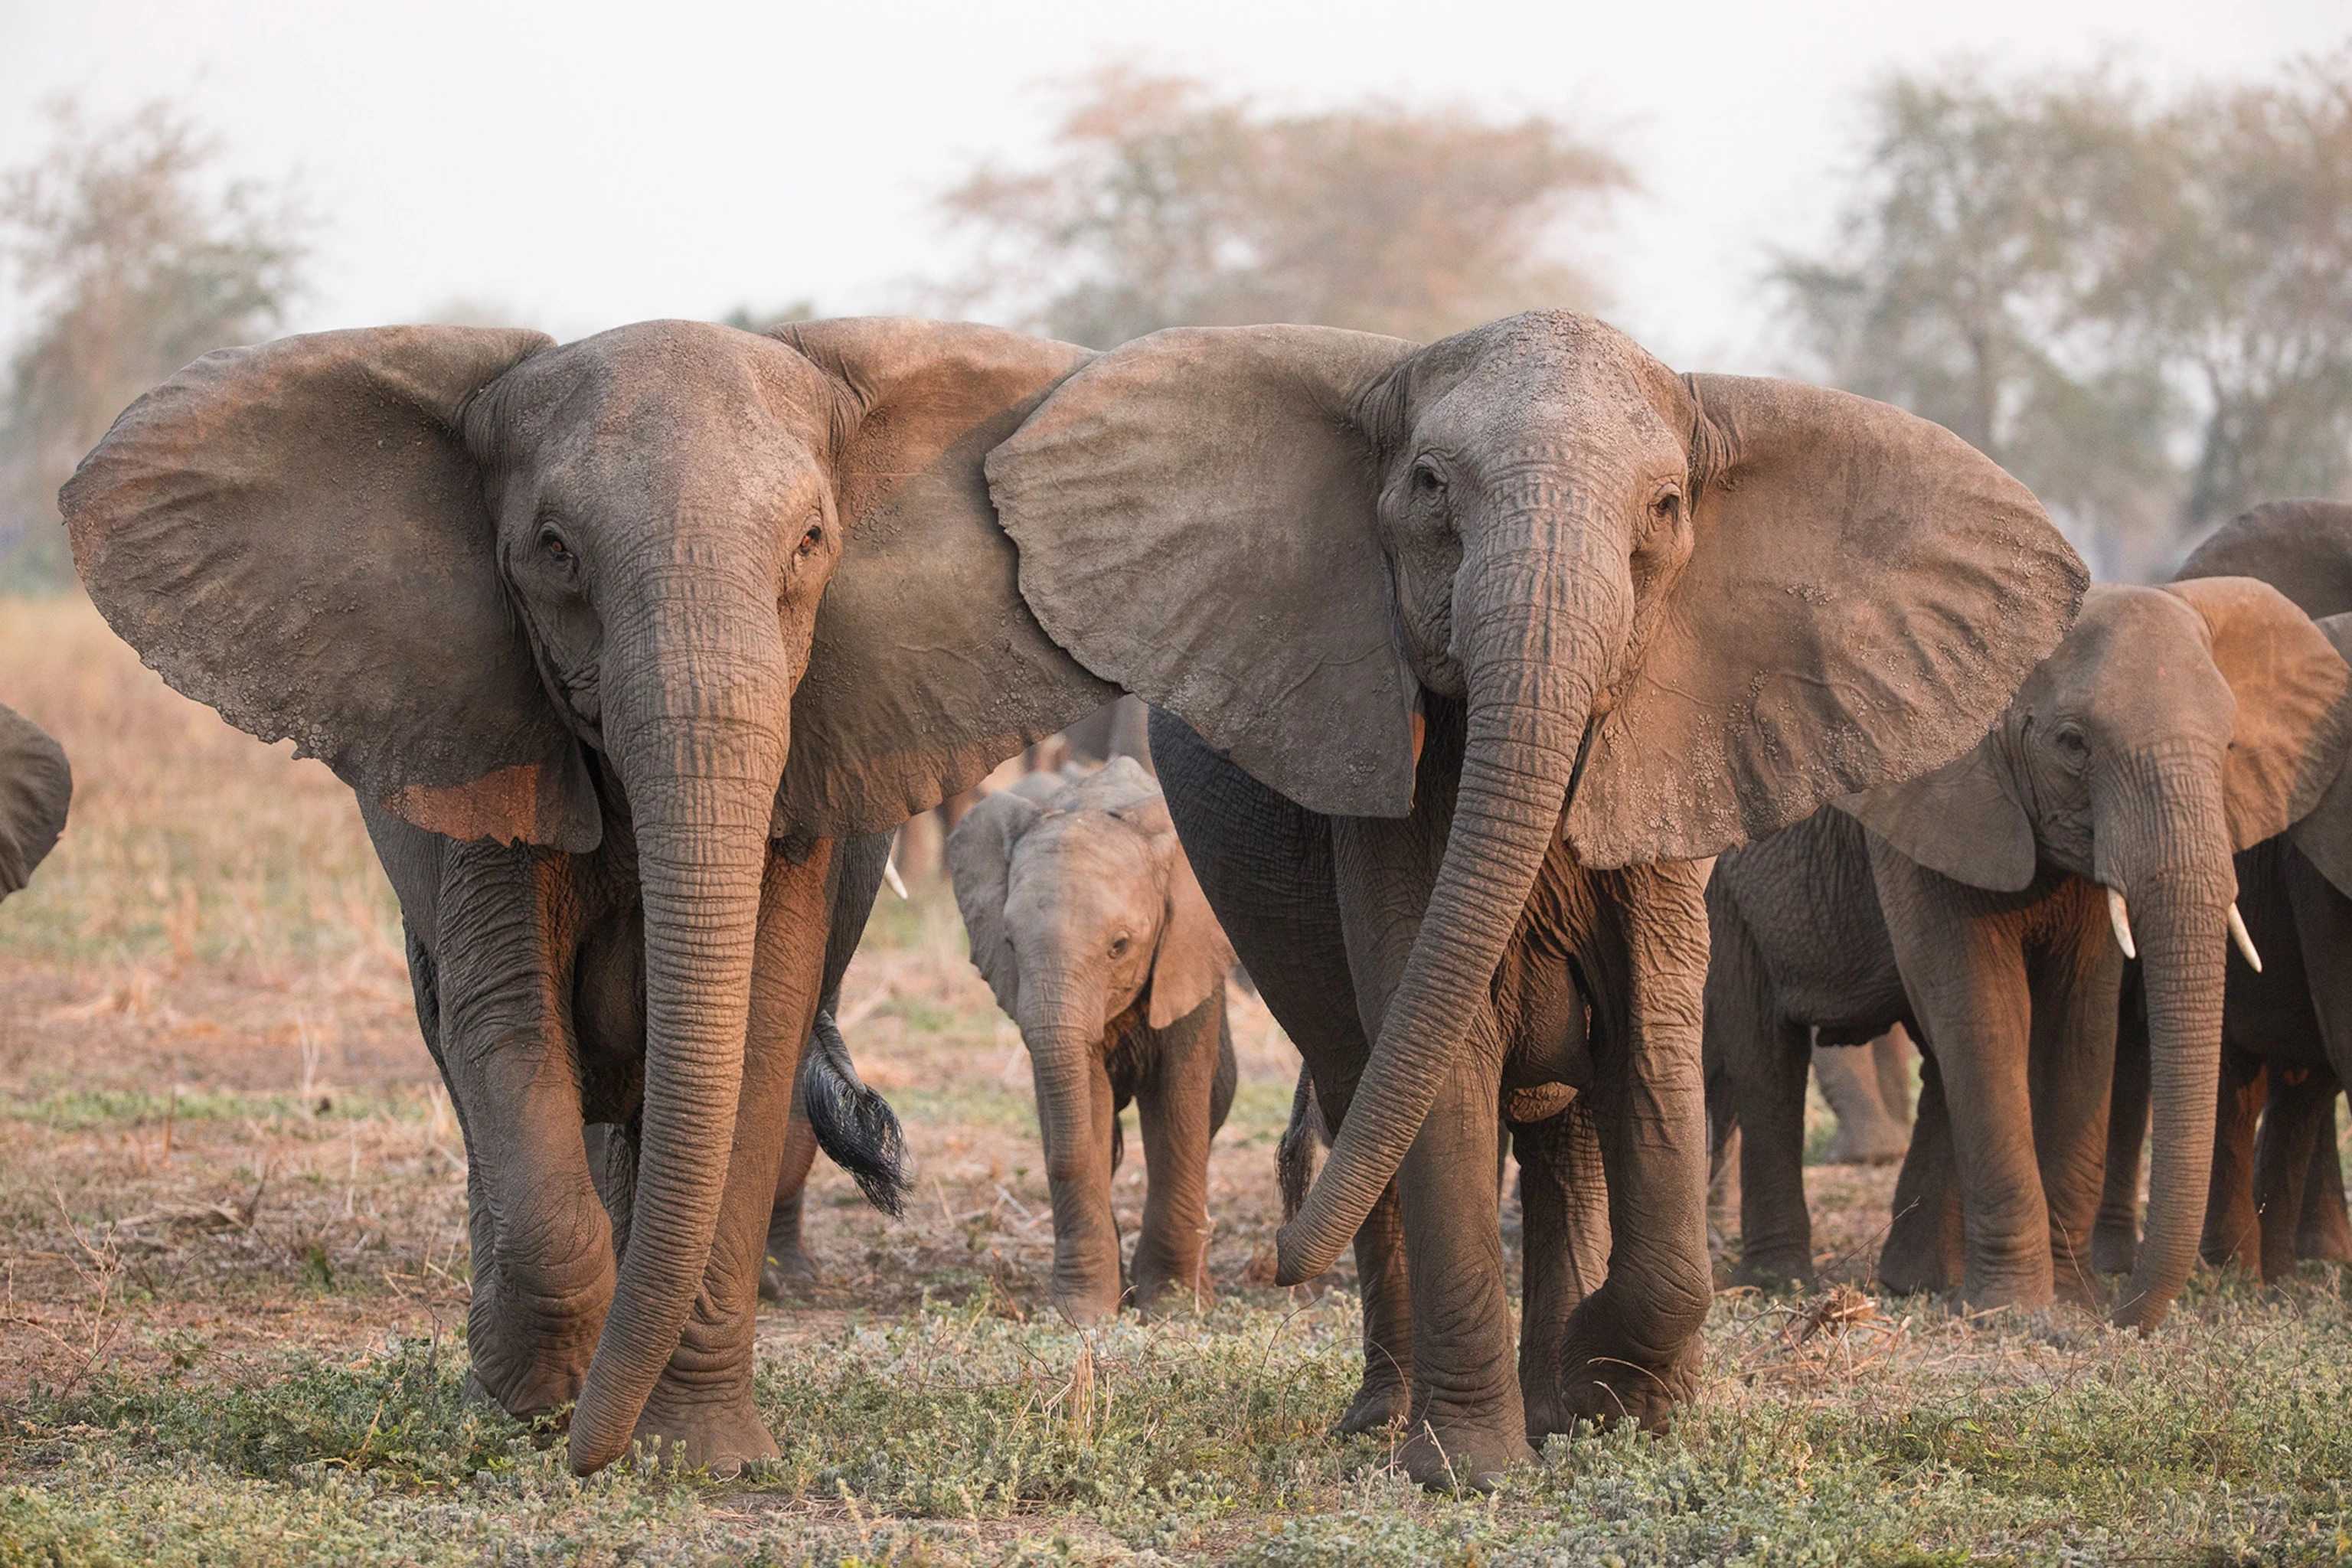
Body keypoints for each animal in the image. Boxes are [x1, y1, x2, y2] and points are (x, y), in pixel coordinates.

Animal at [59, 315, 1115, 1476]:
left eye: (810, 542)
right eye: (555, 549)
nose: (585, 1455)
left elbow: (755, 1034)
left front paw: (697, 1456)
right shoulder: (487, 749)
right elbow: (506, 1022)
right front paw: (538, 1409)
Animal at [945, 761, 1242, 1325]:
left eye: (1119, 946)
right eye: (1009, 942)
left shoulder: (1188, 956)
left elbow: (1178, 1106)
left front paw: (1173, 1308)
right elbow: (1084, 1094)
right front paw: (1083, 1316)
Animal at [983, 312, 2088, 1494]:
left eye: (1666, 506)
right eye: (1428, 485)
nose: (1277, 1263)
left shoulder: (1670, 767)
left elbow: (1652, 1037)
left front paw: (1615, 1396)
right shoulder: (1392, 787)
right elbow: (1442, 1049)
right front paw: (1468, 1470)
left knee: (1566, 1135)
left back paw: (1554, 1398)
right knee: (1365, 1090)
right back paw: (1387, 1421)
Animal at [1712, 576, 2352, 1325]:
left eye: (2229, 747)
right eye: (2073, 744)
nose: (2121, 1312)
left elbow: (2079, 1021)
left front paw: (2067, 1299)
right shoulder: (1930, 801)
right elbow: (1984, 1013)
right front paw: (2015, 1312)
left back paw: (1916, 1281)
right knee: (1765, 1059)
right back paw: (1781, 1282)